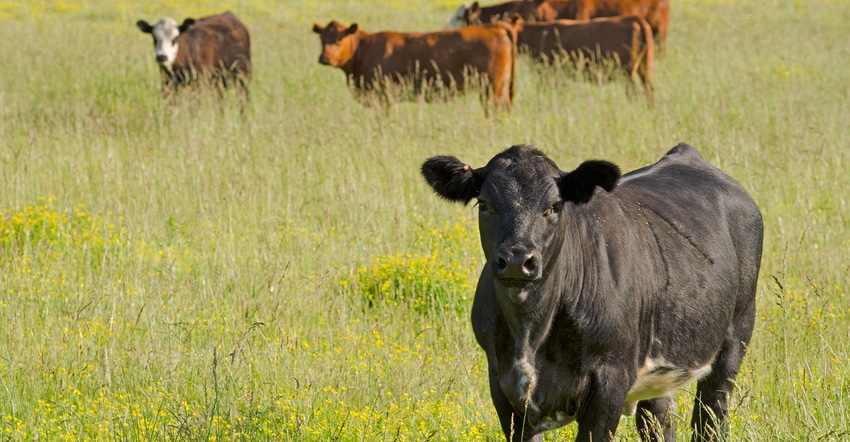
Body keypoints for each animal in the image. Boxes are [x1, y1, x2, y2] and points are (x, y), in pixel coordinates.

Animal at [314, 20, 516, 114]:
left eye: (339, 38)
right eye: (322, 39)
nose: (323, 58)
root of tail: (491, 26)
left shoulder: (382, 96)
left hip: (491, 87)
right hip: (501, 86)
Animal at [422, 142, 760, 442]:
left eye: (554, 206)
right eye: (484, 204)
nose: (517, 260)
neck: (531, 333)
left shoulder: (608, 383)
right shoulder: (503, 387)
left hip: (735, 336)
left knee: (711, 418)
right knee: (658, 421)